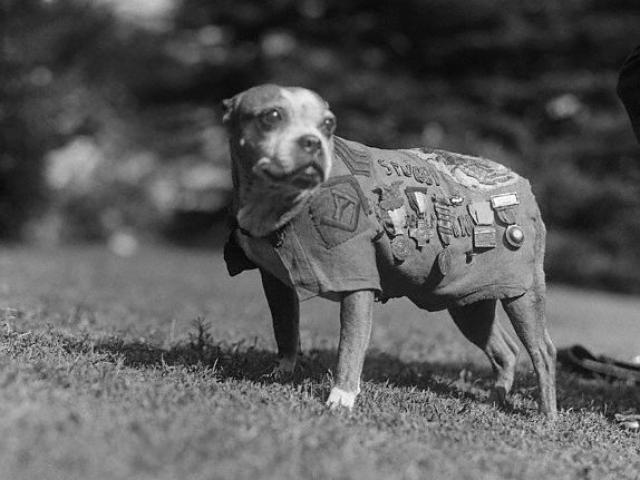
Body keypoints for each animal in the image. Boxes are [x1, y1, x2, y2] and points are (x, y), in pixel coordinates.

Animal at [222, 85, 556, 416]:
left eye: (328, 124)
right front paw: (281, 373)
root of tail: (522, 183)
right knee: (505, 350)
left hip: (523, 295)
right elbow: (285, 330)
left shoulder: (357, 283)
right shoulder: (275, 283)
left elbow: (350, 346)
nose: (312, 141)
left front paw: (341, 399)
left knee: (543, 352)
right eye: (271, 116)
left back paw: (547, 416)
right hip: (469, 302)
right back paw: (495, 400)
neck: (281, 203)